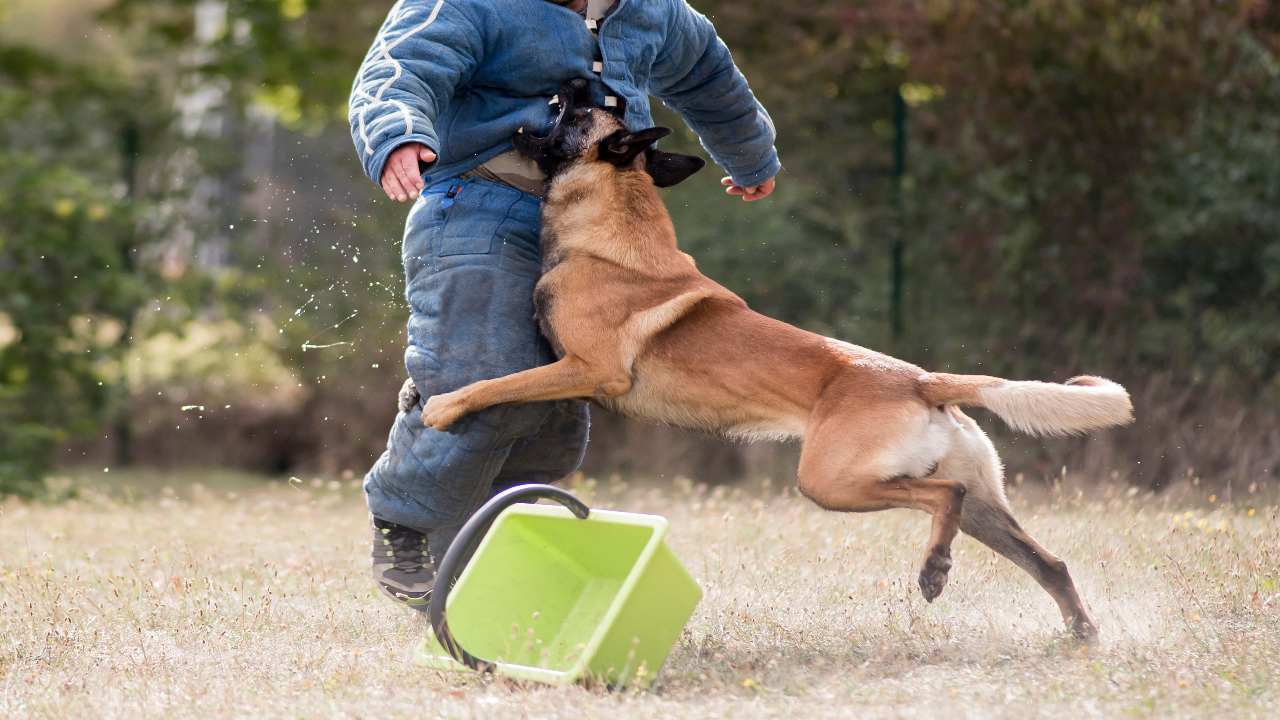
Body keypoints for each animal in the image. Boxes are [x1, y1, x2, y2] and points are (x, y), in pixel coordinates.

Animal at [404, 81, 1136, 635]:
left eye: (581, 114)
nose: (580, 80)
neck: (608, 232)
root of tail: (925, 380)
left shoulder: (586, 369)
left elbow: (498, 383)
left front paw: (442, 406)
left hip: (832, 481)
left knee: (942, 497)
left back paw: (933, 573)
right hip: (980, 503)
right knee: (1046, 560)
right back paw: (1079, 633)